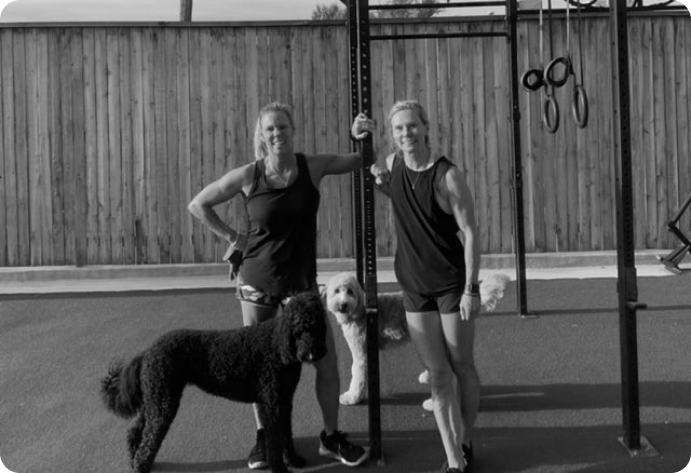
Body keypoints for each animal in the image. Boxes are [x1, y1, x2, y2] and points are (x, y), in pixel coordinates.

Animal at [100, 292, 330, 472]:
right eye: (298, 330)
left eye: (318, 327)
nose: (310, 354)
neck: (277, 344)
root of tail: (148, 351)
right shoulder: (272, 405)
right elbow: (274, 441)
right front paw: (280, 469)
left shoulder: (285, 400)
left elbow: (286, 435)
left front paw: (293, 459)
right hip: (163, 401)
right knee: (149, 439)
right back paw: (140, 465)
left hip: (155, 399)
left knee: (136, 431)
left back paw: (134, 459)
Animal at [322, 272, 510, 408]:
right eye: (336, 291)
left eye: (350, 291)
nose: (343, 304)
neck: (360, 311)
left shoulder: (361, 354)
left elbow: (357, 376)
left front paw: (352, 397)